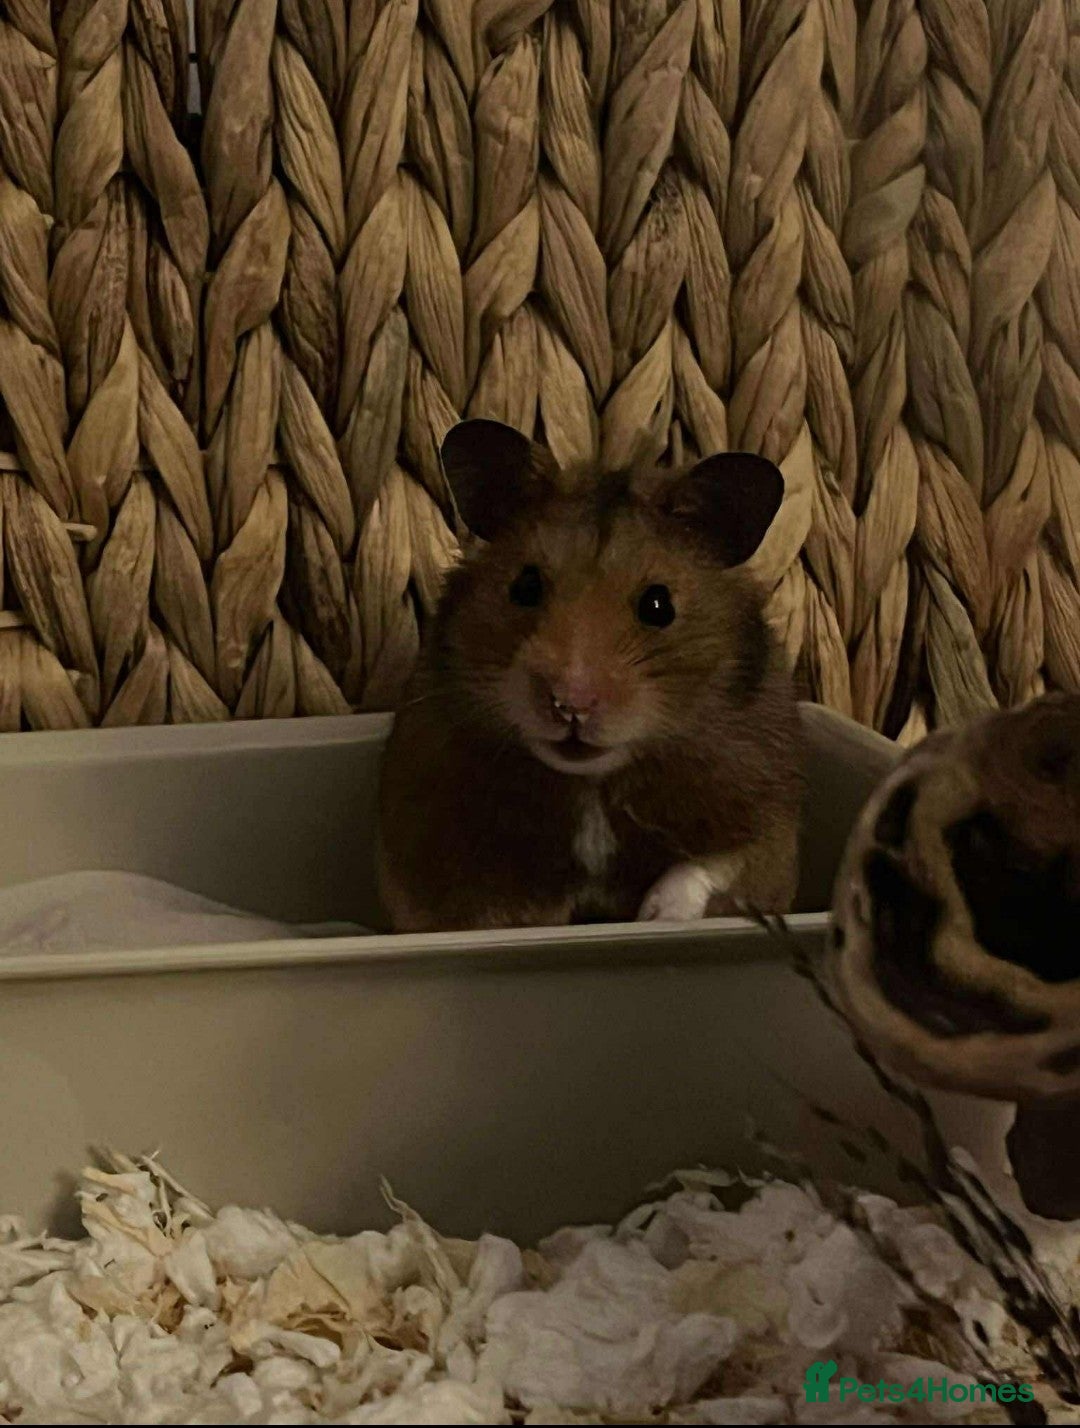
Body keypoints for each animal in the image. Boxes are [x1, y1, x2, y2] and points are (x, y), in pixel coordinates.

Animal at [376, 419, 805, 934]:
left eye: (659, 605)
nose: (570, 705)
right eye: (525, 586)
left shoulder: (769, 823)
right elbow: (485, 906)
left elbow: (710, 865)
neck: (592, 782)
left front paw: (655, 918)